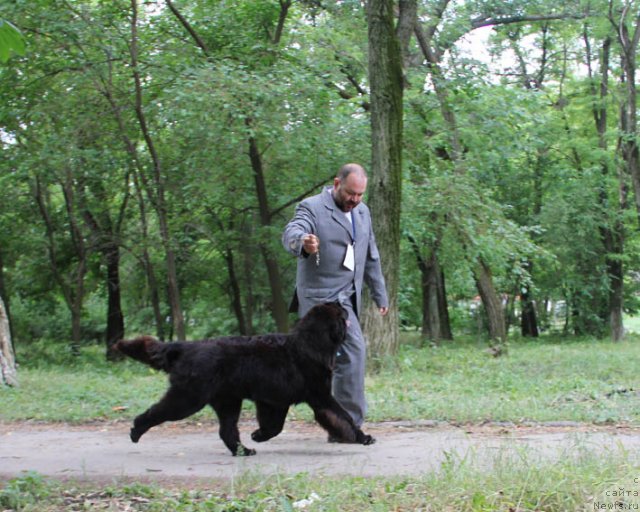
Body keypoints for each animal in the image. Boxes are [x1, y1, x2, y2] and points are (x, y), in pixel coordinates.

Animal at [114, 302, 376, 454]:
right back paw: (135, 431)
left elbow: (275, 426)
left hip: (227, 401)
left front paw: (258, 435)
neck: (312, 343)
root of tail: (185, 347)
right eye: (339, 311)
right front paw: (362, 437)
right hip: (188, 398)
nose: (344, 303)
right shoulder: (319, 395)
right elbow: (343, 417)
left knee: (226, 431)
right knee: (154, 412)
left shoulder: (274, 401)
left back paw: (244, 450)